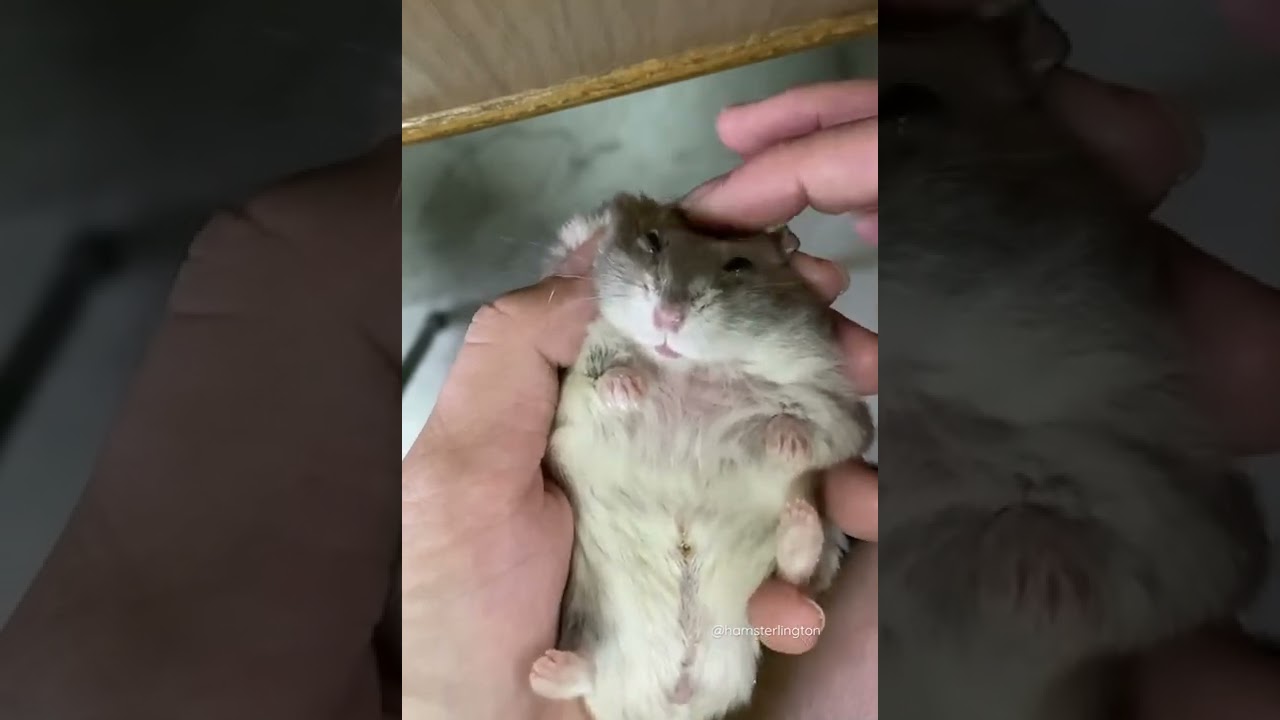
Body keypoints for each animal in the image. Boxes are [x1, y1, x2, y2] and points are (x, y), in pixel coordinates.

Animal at [528, 193, 873, 720]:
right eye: (651, 242)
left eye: (739, 266)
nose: (668, 318)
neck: (686, 369)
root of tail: (678, 698)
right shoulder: (574, 383)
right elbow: (599, 378)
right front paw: (629, 387)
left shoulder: (838, 407)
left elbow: (814, 425)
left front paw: (783, 441)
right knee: (587, 676)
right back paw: (546, 669)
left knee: (799, 573)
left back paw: (798, 522)